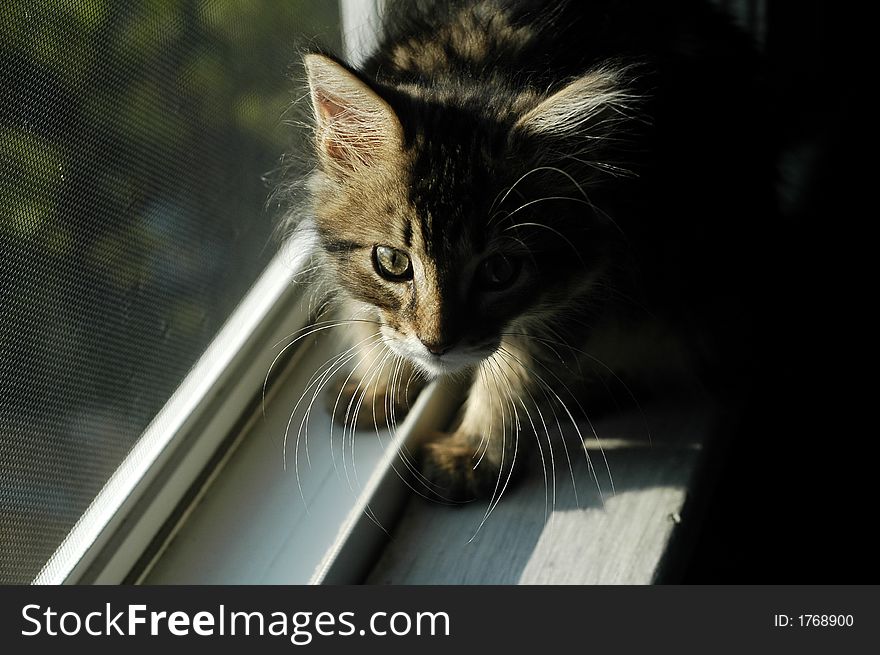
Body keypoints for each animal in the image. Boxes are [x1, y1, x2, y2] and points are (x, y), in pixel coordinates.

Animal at [292, 0, 768, 500]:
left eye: (500, 270)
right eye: (392, 262)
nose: (437, 345)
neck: (474, 66)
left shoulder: (587, 279)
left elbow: (514, 376)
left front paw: (472, 455)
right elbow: (368, 318)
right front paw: (379, 388)